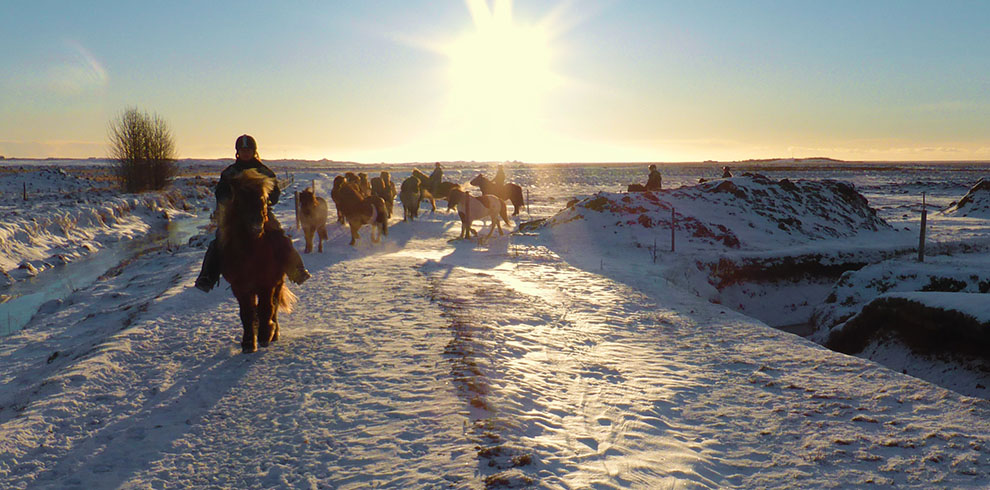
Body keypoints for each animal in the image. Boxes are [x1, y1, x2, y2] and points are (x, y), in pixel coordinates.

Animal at [223, 168, 300, 352]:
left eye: (263, 199)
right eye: (240, 200)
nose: (256, 226)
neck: (251, 253)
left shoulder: (267, 283)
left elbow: (267, 308)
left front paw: (265, 335)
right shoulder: (240, 288)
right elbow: (247, 314)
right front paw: (248, 343)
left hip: (277, 283)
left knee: (274, 306)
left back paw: (274, 332)